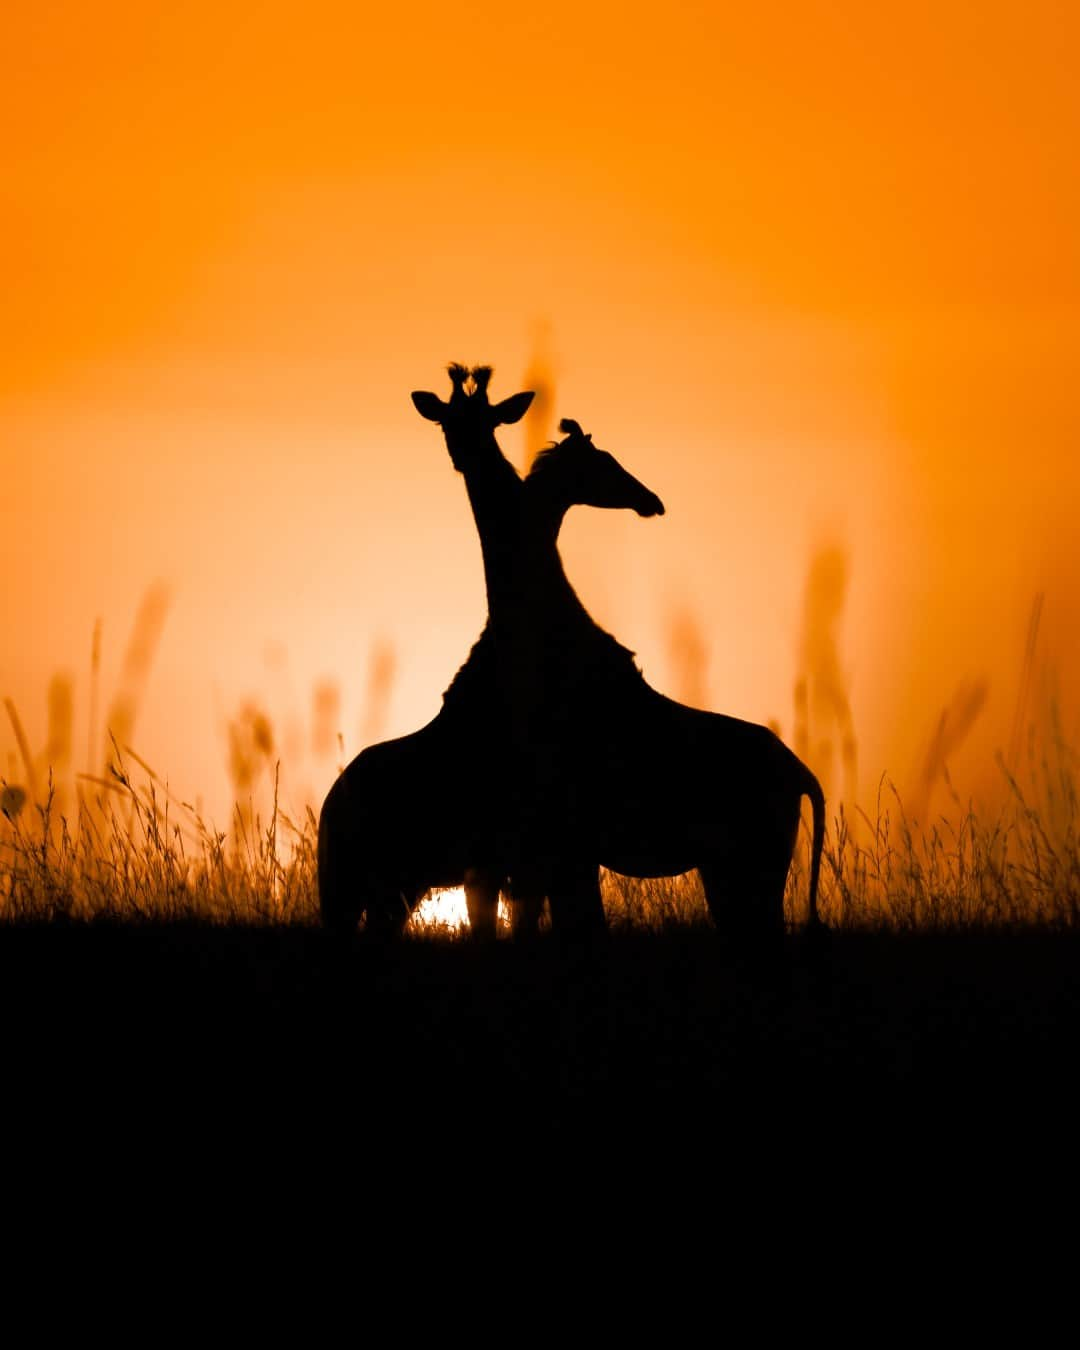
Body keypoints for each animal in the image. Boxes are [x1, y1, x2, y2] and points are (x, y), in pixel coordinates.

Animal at [413, 364, 826, 945]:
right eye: (448, 421)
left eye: (490, 420)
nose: (650, 499)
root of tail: (803, 775)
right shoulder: (553, 847)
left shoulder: (558, 842)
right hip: (729, 867)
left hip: (751, 862)